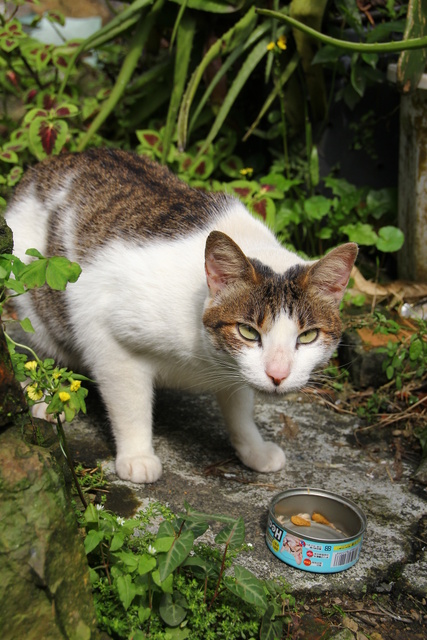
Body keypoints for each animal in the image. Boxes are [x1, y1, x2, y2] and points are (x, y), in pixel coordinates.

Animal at [5, 149, 360, 480]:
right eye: (248, 331)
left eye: (308, 336)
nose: (277, 374)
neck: (205, 357)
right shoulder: (107, 334)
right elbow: (130, 406)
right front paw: (137, 456)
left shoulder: (237, 370)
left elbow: (240, 409)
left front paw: (254, 449)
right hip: (31, 304)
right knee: (32, 351)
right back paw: (44, 397)